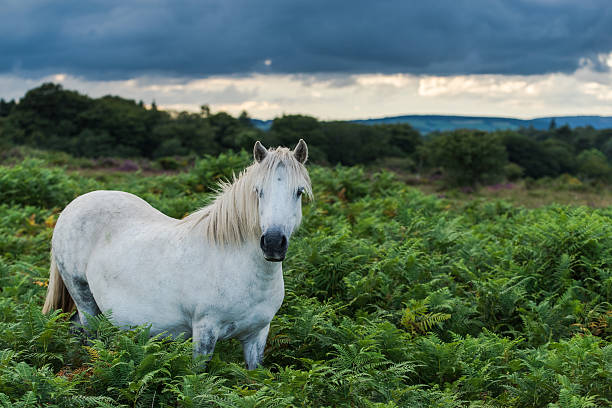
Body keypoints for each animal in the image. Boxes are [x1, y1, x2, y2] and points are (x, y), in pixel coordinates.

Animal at [40, 140, 310, 370]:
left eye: (299, 192)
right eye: (258, 191)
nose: (273, 243)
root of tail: (72, 205)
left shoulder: (257, 336)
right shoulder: (204, 331)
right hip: (84, 297)